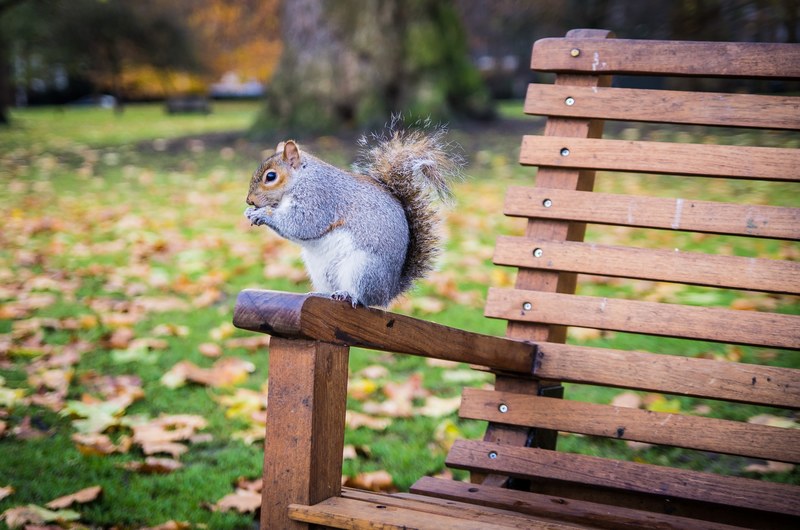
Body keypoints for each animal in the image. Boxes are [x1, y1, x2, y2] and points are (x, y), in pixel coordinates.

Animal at [244, 121, 462, 308]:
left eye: (271, 176)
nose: (250, 201)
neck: (301, 178)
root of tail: (387, 293)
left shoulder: (320, 198)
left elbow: (303, 224)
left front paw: (263, 213)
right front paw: (250, 212)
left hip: (362, 268)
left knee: (364, 298)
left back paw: (348, 295)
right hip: (320, 271)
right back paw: (322, 294)